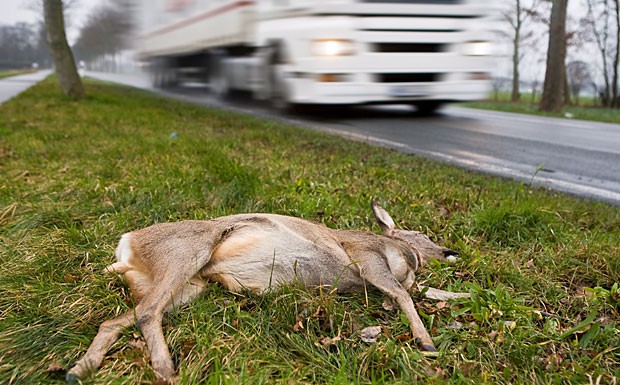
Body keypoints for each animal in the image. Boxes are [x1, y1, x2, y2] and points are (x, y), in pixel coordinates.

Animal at [65, 201, 468, 380]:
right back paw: (166, 369)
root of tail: (125, 247)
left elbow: (413, 293)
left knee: (118, 320)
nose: (449, 251)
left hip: (191, 287)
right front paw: (426, 341)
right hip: (188, 253)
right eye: (421, 233)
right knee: (147, 312)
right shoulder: (366, 258)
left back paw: (80, 368)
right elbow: (403, 293)